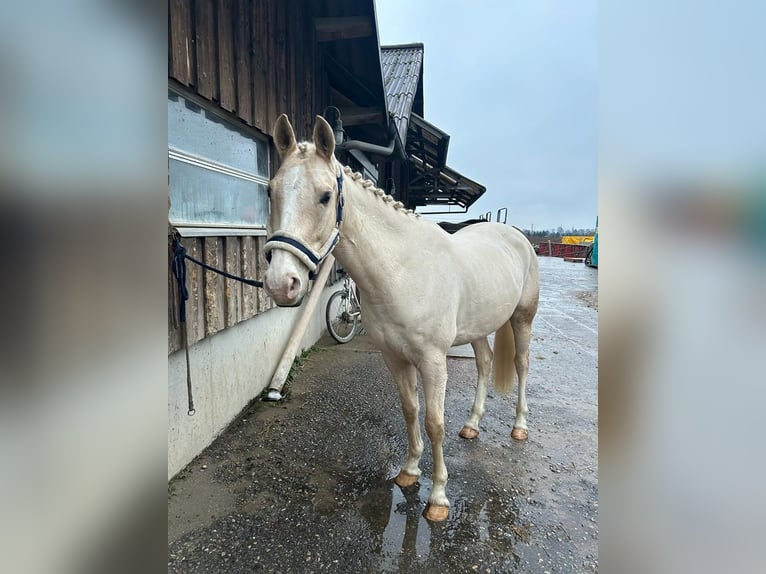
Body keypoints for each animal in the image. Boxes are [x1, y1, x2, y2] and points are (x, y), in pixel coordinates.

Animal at [264, 115, 540, 524]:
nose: (281, 284)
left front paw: (438, 498)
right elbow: (410, 411)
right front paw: (409, 472)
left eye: (325, 196)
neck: (402, 270)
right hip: (479, 327)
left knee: (521, 365)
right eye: (271, 192)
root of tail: (516, 235)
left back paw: (520, 427)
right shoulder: (394, 358)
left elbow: (434, 422)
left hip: (523, 319)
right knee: (486, 363)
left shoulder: (433, 361)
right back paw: (472, 426)